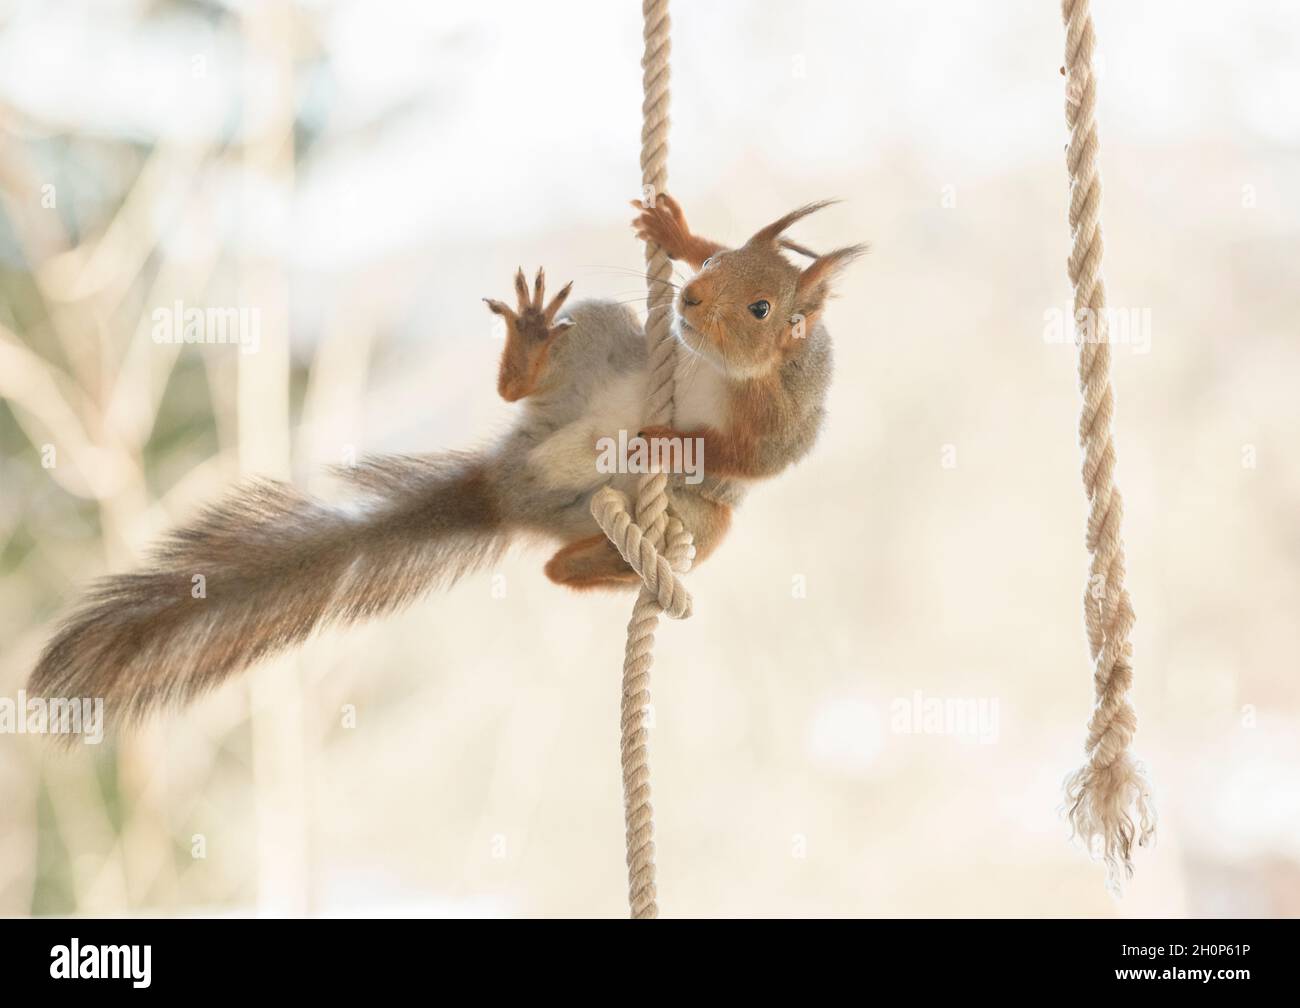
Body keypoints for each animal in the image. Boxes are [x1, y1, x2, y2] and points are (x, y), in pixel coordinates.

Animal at [28, 194, 865, 724]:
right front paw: (677, 227)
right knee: (534, 420)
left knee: (597, 557)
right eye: (718, 266)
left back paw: (611, 559)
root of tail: (505, 493)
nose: (688, 302)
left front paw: (674, 441)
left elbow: (753, 459)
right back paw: (529, 349)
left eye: (761, 308)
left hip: (690, 515)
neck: (724, 369)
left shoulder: (783, 423)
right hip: (595, 344)